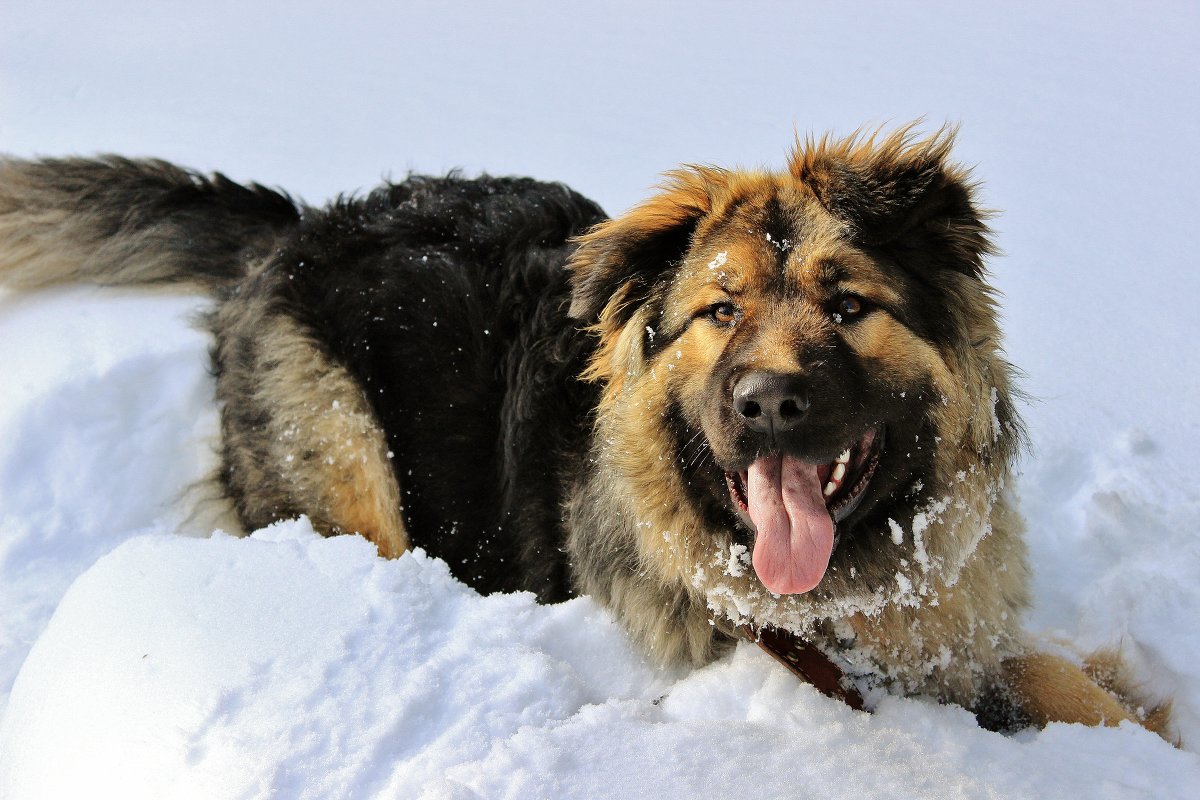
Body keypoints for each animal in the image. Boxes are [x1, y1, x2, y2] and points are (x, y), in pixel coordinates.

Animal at [0, 126, 1166, 738]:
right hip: (344, 456)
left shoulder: (960, 622)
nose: (767, 403)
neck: (852, 592)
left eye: (847, 306)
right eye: (720, 311)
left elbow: (1065, 680)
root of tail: (296, 228)